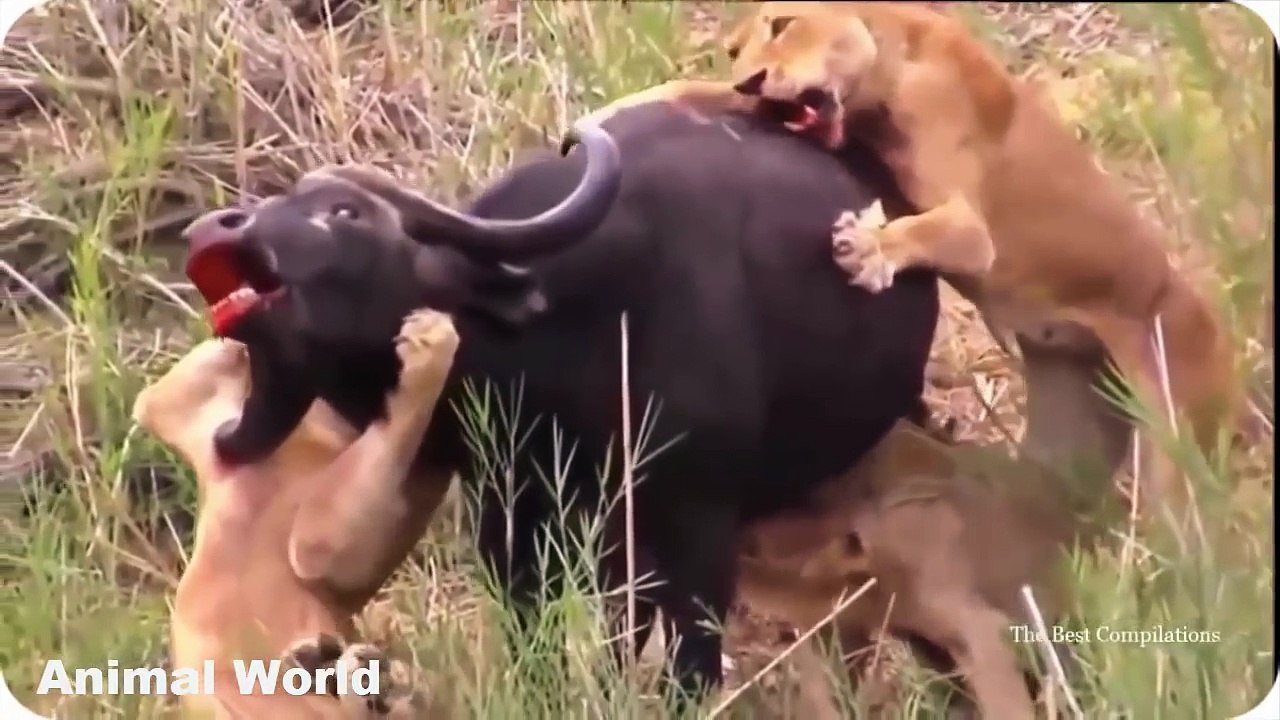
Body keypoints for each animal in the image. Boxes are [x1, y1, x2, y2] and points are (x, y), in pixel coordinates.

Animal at [179, 104, 941, 701]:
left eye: (346, 212)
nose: (216, 227)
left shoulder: (700, 522)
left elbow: (691, 660)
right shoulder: (513, 513)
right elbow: (539, 631)